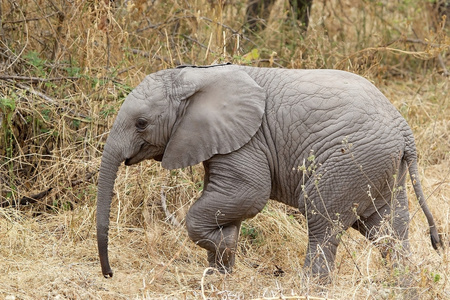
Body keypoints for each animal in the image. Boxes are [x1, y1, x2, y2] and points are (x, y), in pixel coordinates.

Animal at [96, 63, 440, 278]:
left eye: (141, 123)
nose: (110, 274)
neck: (197, 75)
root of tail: (403, 127)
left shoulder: (248, 141)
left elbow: (248, 194)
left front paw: (222, 255)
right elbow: (227, 204)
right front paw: (220, 271)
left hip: (349, 161)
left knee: (322, 223)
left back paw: (309, 287)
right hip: (381, 166)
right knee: (388, 230)